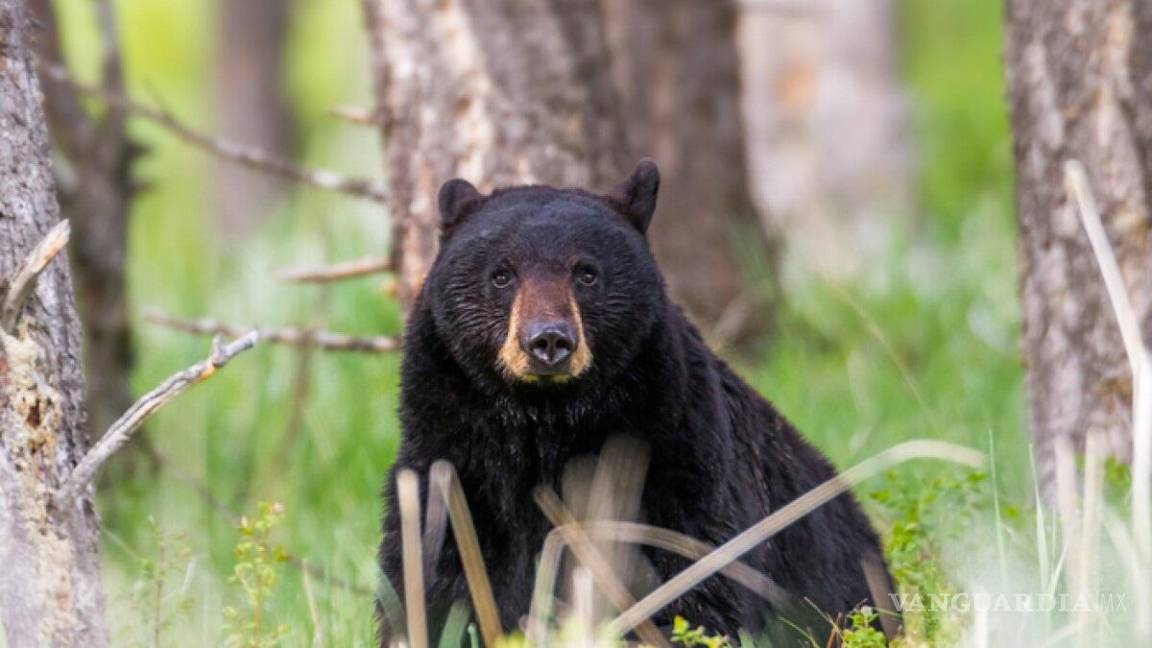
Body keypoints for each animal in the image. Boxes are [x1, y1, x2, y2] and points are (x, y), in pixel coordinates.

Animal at [379, 160, 894, 646]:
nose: (548, 341)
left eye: (586, 273)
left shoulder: (677, 456)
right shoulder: (453, 463)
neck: (545, 423)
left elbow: (697, 575)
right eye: (502, 274)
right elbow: (429, 574)